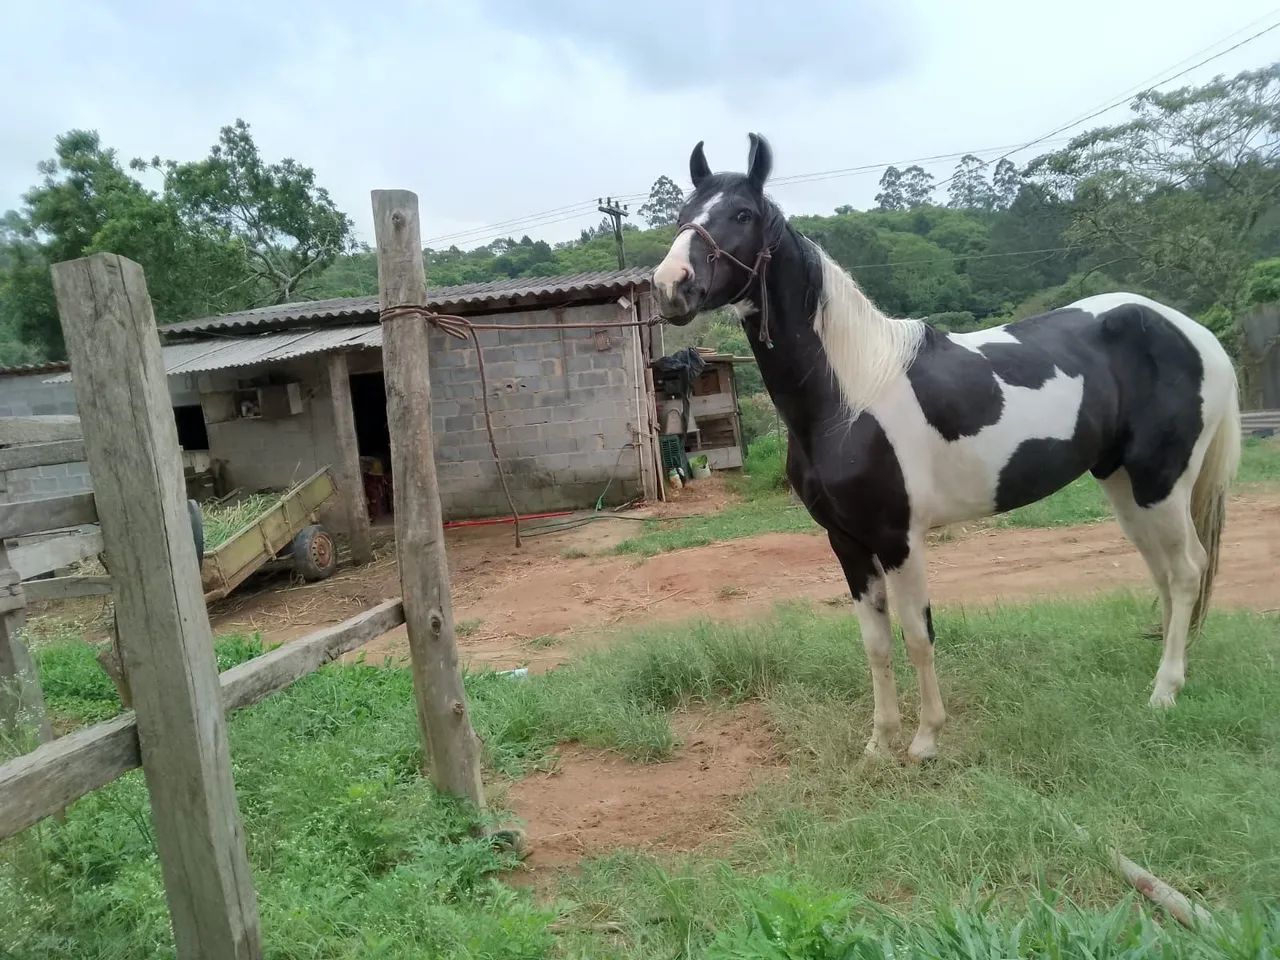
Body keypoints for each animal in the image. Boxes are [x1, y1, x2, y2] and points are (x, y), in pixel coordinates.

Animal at [651, 134, 1241, 761]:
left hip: (1161, 481)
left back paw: (1165, 691)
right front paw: (879, 742)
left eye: (742, 214)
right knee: (1163, 571)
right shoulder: (847, 542)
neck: (849, 398)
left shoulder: (898, 539)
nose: (671, 285)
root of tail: (1193, 332)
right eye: (683, 214)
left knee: (1187, 570)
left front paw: (925, 738)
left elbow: (917, 634)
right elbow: (875, 643)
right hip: (1124, 485)